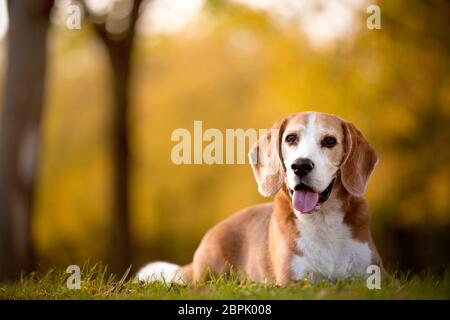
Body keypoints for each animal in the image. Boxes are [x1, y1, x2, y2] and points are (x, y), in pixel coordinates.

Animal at [137, 111, 384, 284]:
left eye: (330, 141)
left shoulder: (375, 275)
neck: (323, 221)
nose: (300, 166)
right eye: (291, 139)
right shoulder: (293, 281)